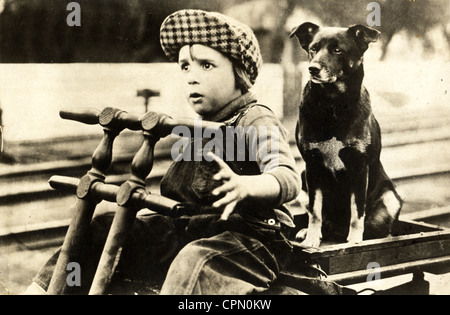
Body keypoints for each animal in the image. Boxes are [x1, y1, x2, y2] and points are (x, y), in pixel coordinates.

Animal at [290, 23, 402, 248]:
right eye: (313, 49)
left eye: (337, 50)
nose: (313, 68)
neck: (332, 104)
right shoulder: (312, 167)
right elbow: (315, 212)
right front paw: (311, 238)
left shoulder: (359, 167)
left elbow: (357, 212)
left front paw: (355, 241)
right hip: (303, 179)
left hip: (391, 198)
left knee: (379, 228)